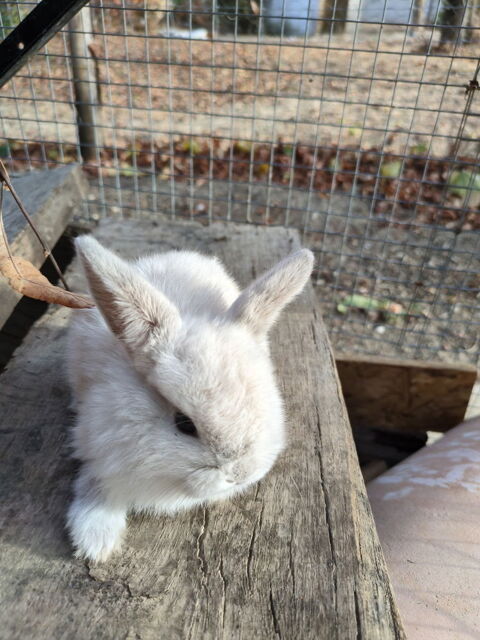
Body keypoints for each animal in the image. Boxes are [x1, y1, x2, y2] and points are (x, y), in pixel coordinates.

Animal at [66, 235, 314, 562]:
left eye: (263, 404)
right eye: (184, 424)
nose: (241, 475)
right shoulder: (96, 449)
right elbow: (97, 486)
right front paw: (95, 543)